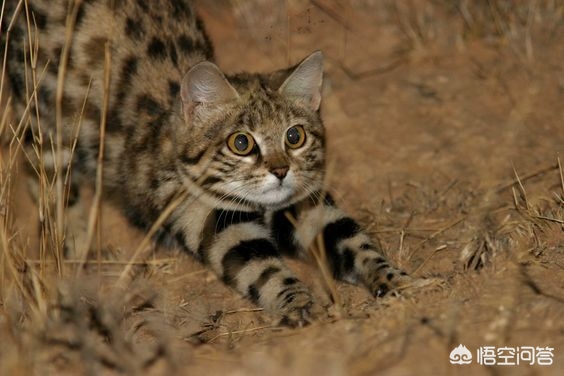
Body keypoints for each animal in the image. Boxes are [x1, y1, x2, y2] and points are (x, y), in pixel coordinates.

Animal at [4, 0, 416, 324]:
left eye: (294, 136)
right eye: (241, 143)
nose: (280, 170)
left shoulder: (305, 202)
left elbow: (357, 243)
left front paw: (395, 279)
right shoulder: (206, 214)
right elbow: (263, 268)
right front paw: (298, 302)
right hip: (43, 111)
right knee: (47, 178)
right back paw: (76, 243)